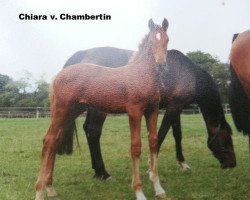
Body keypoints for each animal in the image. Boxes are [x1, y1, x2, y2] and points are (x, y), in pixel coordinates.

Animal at [35, 18, 170, 200]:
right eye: (150, 42)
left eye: (167, 40)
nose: (161, 65)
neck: (140, 75)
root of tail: (57, 75)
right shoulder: (134, 112)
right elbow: (135, 147)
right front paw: (139, 191)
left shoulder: (152, 111)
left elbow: (153, 143)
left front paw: (159, 188)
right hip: (61, 111)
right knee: (48, 141)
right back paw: (40, 191)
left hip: (72, 112)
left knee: (55, 141)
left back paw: (50, 188)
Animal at [63, 47, 235, 179]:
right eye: (226, 139)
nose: (232, 164)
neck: (188, 74)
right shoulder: (173, 107)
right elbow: (161, 135)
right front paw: (151, 168)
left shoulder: (175, 106)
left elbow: (177, 134)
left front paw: (182, 163)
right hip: (99, 109)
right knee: (93, 131)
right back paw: (103, 173)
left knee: (88, 129)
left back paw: (97, 172)